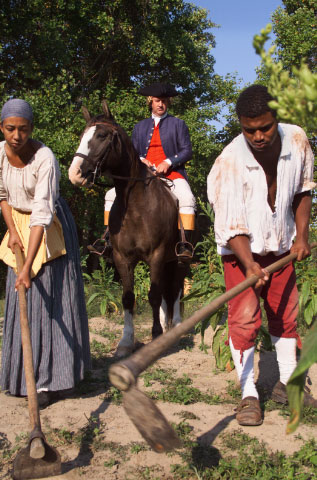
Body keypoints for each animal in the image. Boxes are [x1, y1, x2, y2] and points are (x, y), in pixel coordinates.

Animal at [68, 100, 188, 356]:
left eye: (102, 135)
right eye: (83, 135)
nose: (75, 174)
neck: (135, 206)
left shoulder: (156, 255)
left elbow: (153, 295)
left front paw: (155, 336)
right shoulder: (122, 258)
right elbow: (128, 298)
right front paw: (126, 342)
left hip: (180, 259)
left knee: (176, 289)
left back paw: (176, 327)